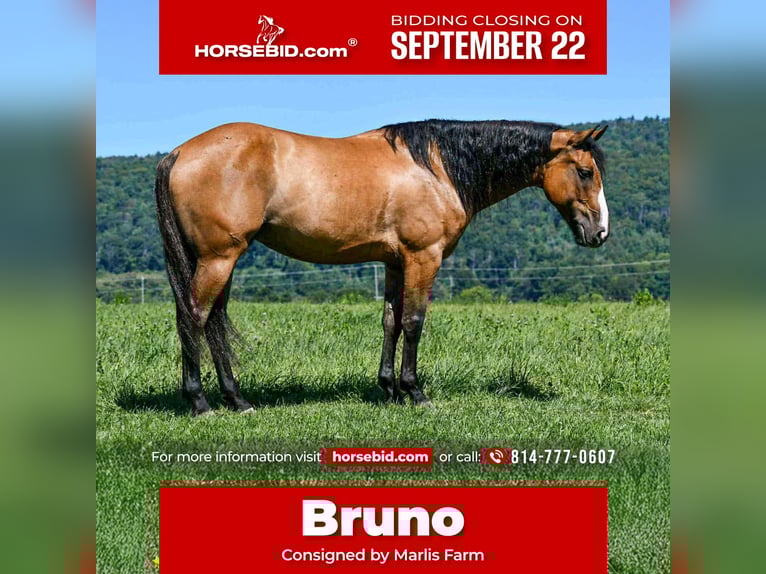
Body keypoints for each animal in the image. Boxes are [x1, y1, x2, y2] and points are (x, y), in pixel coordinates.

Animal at [154, 119, 609, 415]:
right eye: (585, 172)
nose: (600, 232)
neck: (438, 167)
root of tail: (178, 153)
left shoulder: (394, 262)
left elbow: (390, 322)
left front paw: (389, 390)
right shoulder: (423, 257)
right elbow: (413, 322)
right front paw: (415, 393)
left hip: (220, 260)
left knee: (214, 321)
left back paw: (237, 399)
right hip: (218, 258)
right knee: (194, 317)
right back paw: (200, 402)